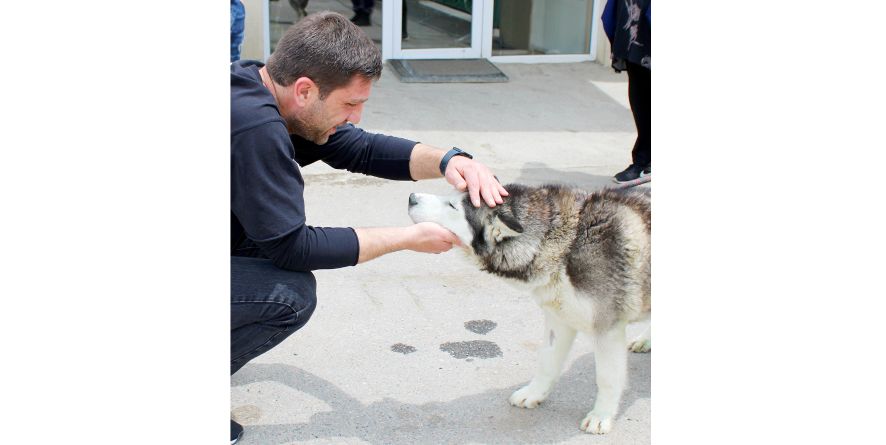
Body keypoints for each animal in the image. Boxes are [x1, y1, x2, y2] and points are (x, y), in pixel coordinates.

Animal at [410, 182, 652, 432]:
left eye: (452, 205)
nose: (411, 197)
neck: (568, 242)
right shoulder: (559, 319)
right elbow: (547, 362)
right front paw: (535, 394)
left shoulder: (607, 329)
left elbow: (607, 378)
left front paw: (601, 415)